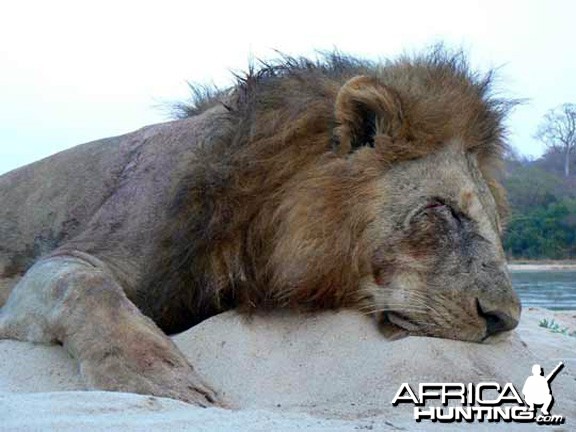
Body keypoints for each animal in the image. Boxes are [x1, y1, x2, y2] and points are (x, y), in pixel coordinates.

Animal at [0, 49, 520, 404]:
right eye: (445, 210)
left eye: (497, 227)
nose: (505, 320)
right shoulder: (70, 260)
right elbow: (84, 287)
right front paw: (159, 378)